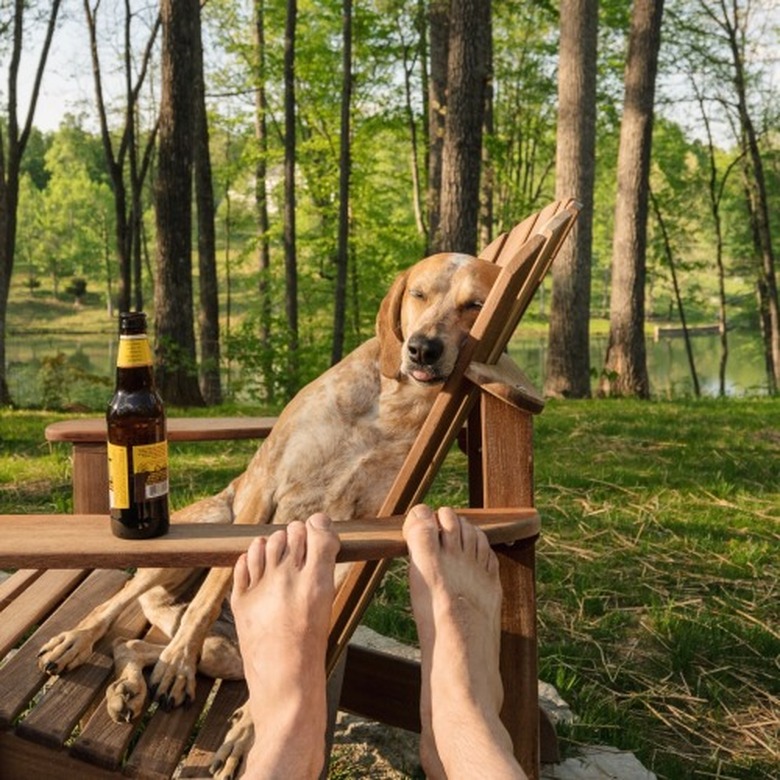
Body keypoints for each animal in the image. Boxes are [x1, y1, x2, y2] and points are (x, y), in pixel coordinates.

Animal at [35, 253, 500, 776]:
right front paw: (178, 665)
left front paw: (250, 730)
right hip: (201, 535)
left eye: (475, 305)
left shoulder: (363, 525)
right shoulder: (266, 486)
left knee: (130, 645)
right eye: (419, 294)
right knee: (121, 610)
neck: (390, 406)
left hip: (227, 655)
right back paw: (84, 642)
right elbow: (208, 596)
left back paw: (130, 688)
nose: (422, 348)